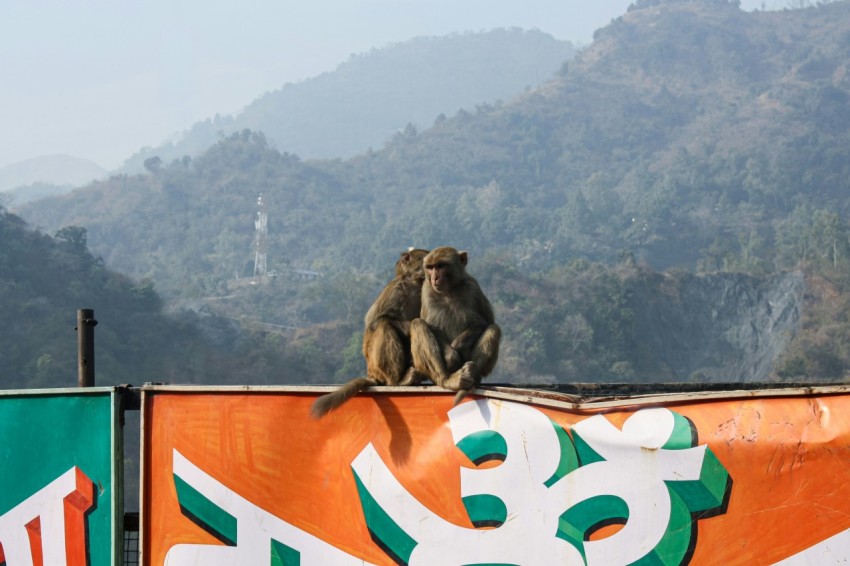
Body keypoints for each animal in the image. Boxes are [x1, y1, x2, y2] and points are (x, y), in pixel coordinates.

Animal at [310, 247, 430, 418]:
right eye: (424, 259)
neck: (414, 284)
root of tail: (371, 374)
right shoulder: (396, 290)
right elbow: (375, 320)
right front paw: (411, 324)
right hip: (375, 365)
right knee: (384, 326)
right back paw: (398, 379)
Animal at [410, 246, 500, 406]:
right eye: (430, 267)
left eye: (440, 266)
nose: (434, 278)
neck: (449, 290)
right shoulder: (426, 290)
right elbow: (432, 326)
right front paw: (451, 356)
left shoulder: (473, 287)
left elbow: (484, 322)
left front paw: (459, 346)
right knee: (417, 324)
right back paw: (447, 380)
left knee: (494, 329)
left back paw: (472, 374)